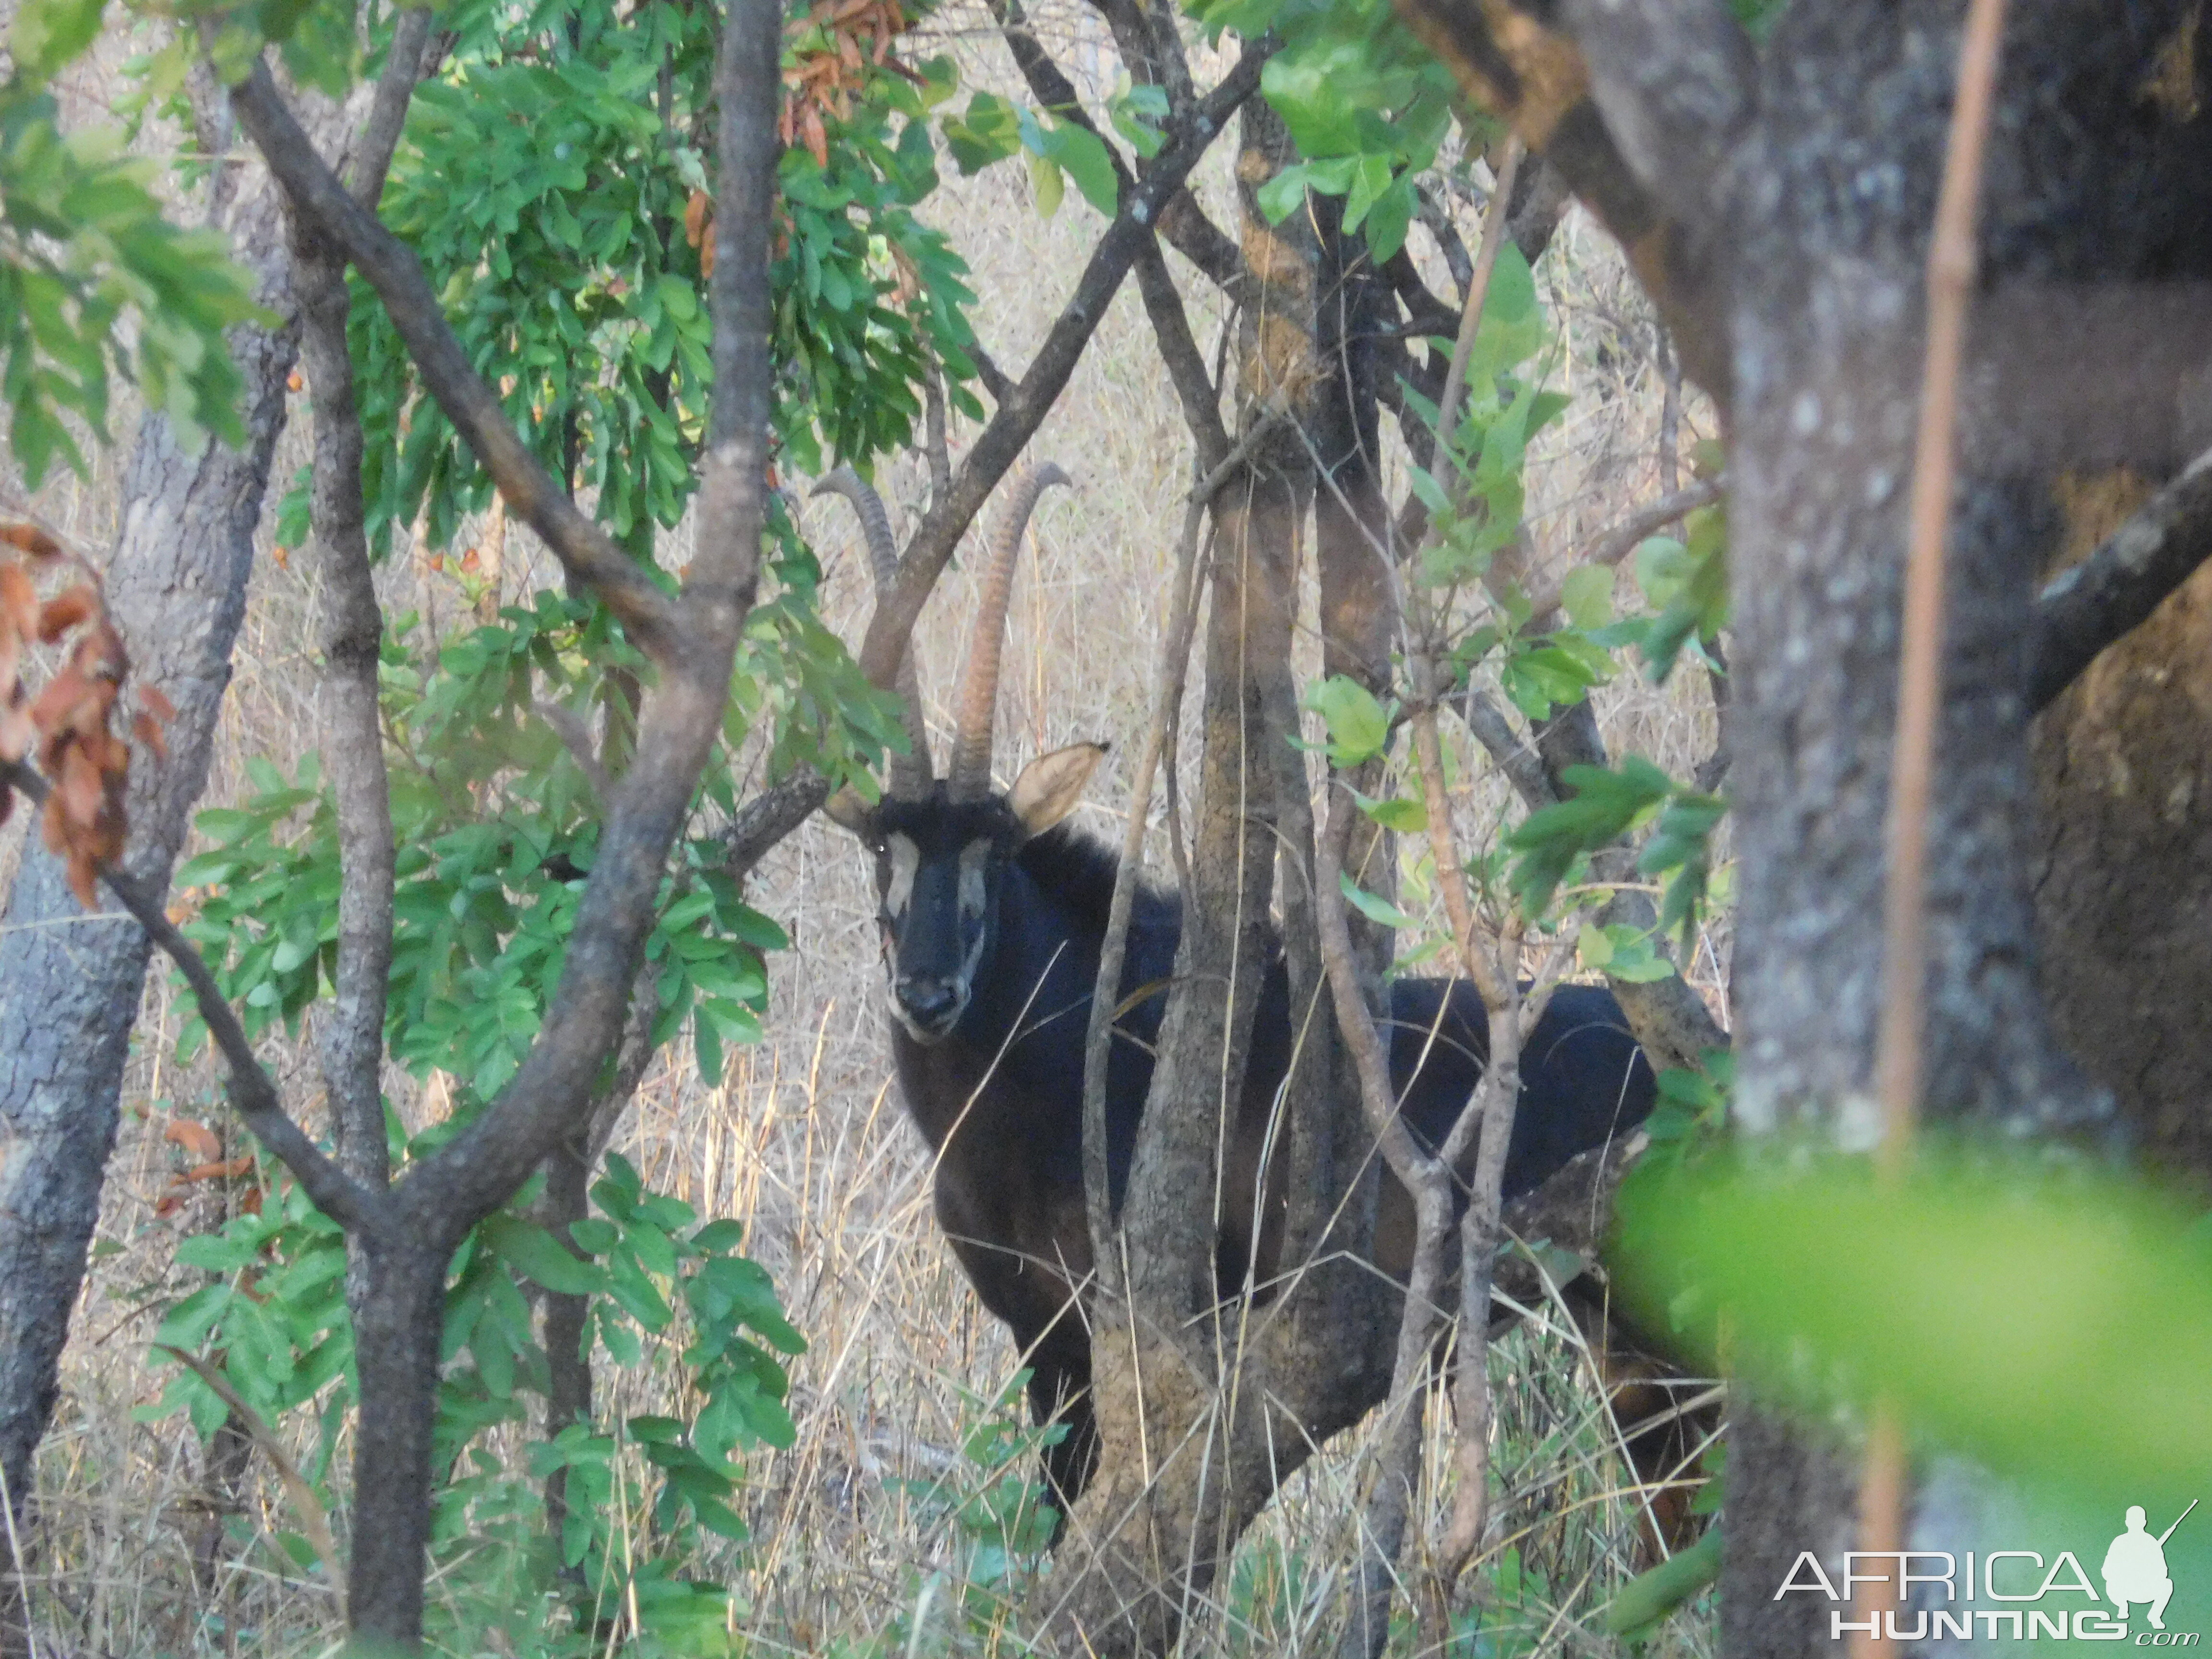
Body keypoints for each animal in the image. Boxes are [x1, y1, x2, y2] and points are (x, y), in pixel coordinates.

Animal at [823, 464, 1698, 1530]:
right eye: (884, 846)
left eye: (992, 848)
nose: (928, 990)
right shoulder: (1040, 1336)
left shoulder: (1128, 1337)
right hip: (1625, 1357)